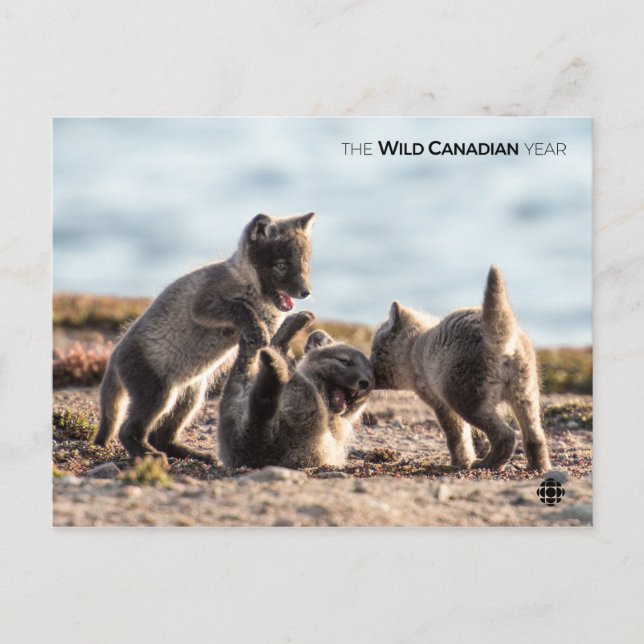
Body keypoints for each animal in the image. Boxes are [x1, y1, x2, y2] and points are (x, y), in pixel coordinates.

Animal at [94, 212, 315, 463]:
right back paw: (148, 454)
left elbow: (273, 332)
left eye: (304, 264)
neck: (251, 288)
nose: (306, 292)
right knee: (127, 430)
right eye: (281, 265)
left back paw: (190, 453)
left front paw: (292, 323)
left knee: (162, 437)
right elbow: (240, 307)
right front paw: (255, 328)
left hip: (191, 396)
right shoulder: (201, 305)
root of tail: (113, 356)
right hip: (157, 394)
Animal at [218, 311, 374, 469]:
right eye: (345, 362)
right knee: (244, 368)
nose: (365, 383)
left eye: (371, 376)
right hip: (233, 401)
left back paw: (276, 354)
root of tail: (254, 439)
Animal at [370, 266, 551, 471]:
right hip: (525, 395)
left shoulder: (440, 402)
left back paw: (486, 464)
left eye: (376, 351)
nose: (367, 371)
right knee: (536, 437)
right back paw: (538, 467)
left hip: (466, 398)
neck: (416, 346)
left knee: (506, 436)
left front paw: (461, 462)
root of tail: (501, 342)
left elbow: (457, 436)